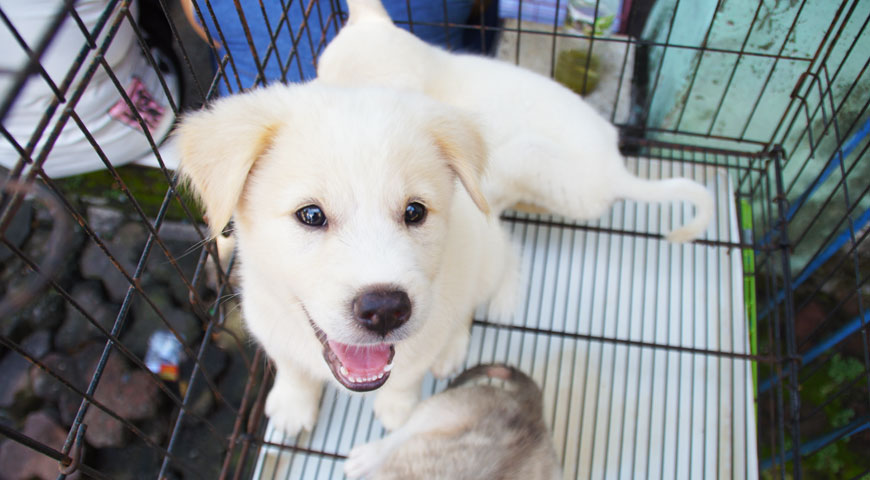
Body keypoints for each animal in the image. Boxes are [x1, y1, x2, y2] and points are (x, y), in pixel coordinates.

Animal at [179, 83, 516, 436]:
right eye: (311, 215)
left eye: (414, 211)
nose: (385, 310)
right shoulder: (267, 322)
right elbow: (290, 366)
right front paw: (293, 404)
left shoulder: (428, 334)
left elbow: (407, 377)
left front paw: (398, 409)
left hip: (486, 260)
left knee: (471, 304)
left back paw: (452, 348)